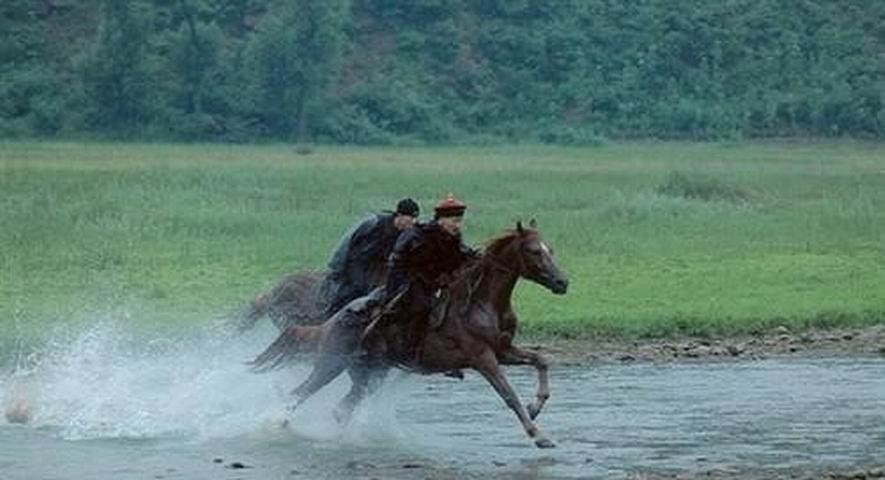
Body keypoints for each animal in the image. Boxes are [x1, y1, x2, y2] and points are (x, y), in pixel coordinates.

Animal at [250, 220, 569, 448]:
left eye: (551, 249)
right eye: (534, 251)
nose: (562, 282)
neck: (481, 303)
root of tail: (332, 321)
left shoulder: (504, 351)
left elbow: (541, 360)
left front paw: (536, 406)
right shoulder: (483, 358)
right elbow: (509, 395)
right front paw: (539, 435)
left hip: (368, 375)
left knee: (342, 408)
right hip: (330, 365)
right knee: (299, 393)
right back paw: (276, 425)